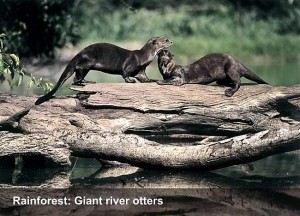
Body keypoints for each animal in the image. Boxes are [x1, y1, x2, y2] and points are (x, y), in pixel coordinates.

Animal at [35, 36, 172, 105]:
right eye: (165, 40)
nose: (171, 41)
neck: (143, 57)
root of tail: (80, 52)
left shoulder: (141, 70)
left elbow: (144, 78)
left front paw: (152, 80)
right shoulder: (129, 65)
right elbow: (125, 74)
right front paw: (130, 81)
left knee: (77, 76)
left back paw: (86, 82)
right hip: (90, 60)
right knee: (78, 68)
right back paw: (85, 82)